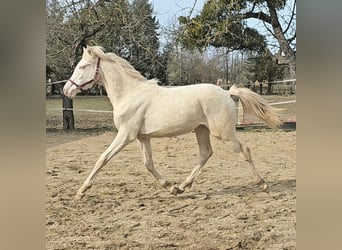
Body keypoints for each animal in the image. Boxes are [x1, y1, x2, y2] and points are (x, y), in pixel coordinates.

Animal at [62, 46, 282, 200]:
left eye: (82, 66)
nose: (66, 90)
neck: (130, 94)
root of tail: (228, 93)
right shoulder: (142, 137)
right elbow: (148, 164)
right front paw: (171, 188)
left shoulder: (126, 135)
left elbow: (102, 159)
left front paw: (81, 192)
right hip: (201, 130)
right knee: (206, 153)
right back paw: (183, 186)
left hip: (223, 133)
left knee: (244, 150)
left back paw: (263, 184)